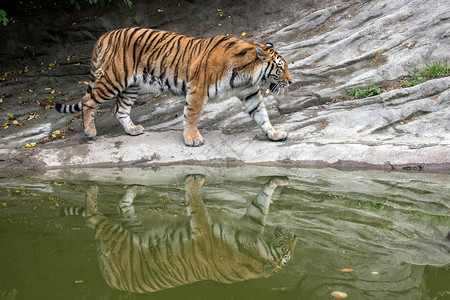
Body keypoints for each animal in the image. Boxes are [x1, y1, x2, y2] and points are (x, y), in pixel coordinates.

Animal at [54, 27, 294, 147]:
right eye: (281, 68)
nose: (291, 81)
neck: (246, 74)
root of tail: (104, 36)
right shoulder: (197, 89)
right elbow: (192, 115)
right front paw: (192, 139)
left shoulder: (250, 94)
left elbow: (262, 116)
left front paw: (274, 134)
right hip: (114, 79)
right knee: (88, 101)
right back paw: (90, 131)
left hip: (131, 85)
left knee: (119, 109)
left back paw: (132, 130)